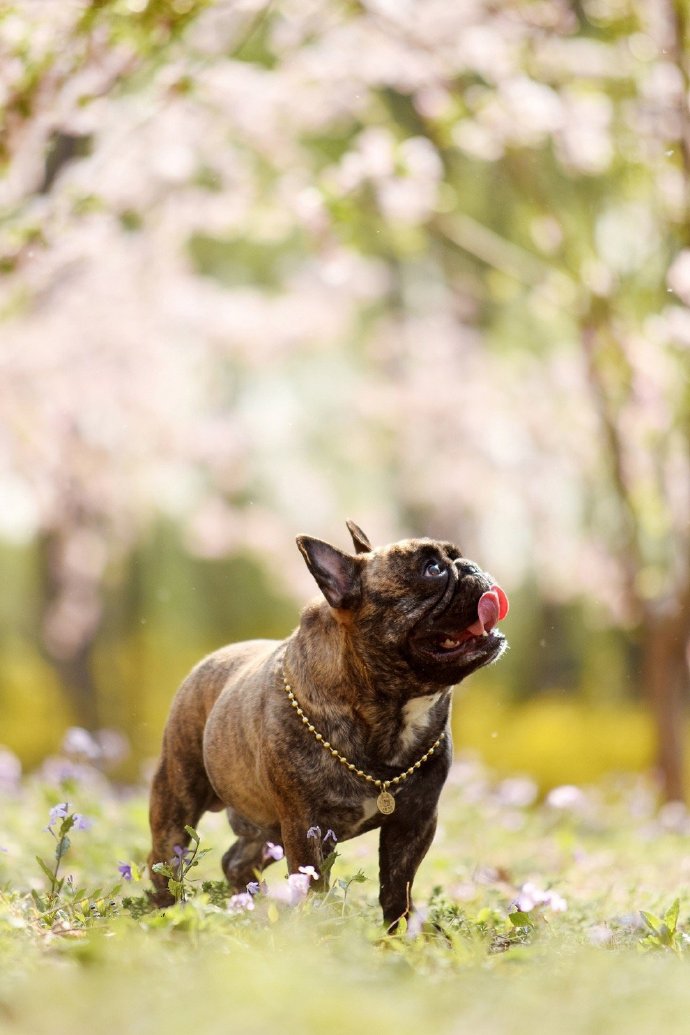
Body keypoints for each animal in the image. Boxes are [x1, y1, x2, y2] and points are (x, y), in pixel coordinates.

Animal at [150, 521, 506, 927]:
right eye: (432, 569)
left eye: (456, 556)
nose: (470, 566)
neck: (389, 712)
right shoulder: (305, 827)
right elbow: (314, 885)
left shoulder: (415, 820)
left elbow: (397, 885)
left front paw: (400, 932)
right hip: (180, 797)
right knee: (164, 861)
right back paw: (167, 914)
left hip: (268, 830)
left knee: (237, 860)